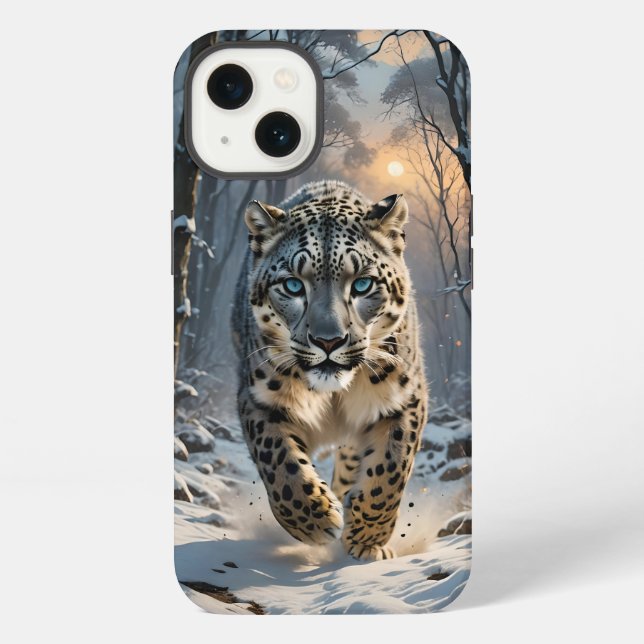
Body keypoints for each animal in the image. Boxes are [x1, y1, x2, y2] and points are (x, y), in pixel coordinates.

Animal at [231, 180, 428, 561]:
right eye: (293, 285)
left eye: (363, 284)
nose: (328, 340)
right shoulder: (258, 400)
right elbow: (279, 462)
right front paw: (317, 519)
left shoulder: (406, 399)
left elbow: (391, 468)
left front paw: (366, 537)